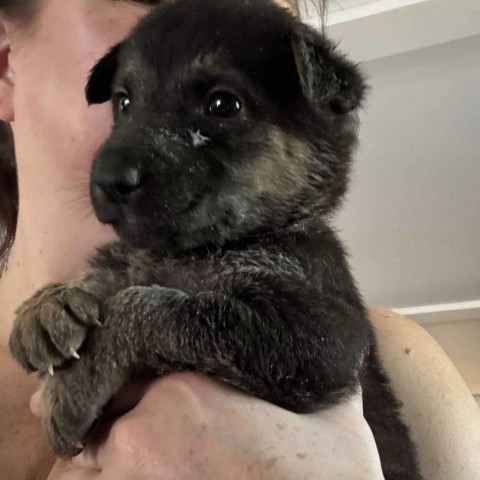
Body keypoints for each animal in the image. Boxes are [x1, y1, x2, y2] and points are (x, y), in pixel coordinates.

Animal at [8, 0, 420, 476]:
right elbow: (119, 267)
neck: (204, 249)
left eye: (223, 104)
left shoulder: (324, 337)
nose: (107, 180)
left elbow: (151, 306)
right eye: (124, 102)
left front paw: (78, 380)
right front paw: (46, 305)